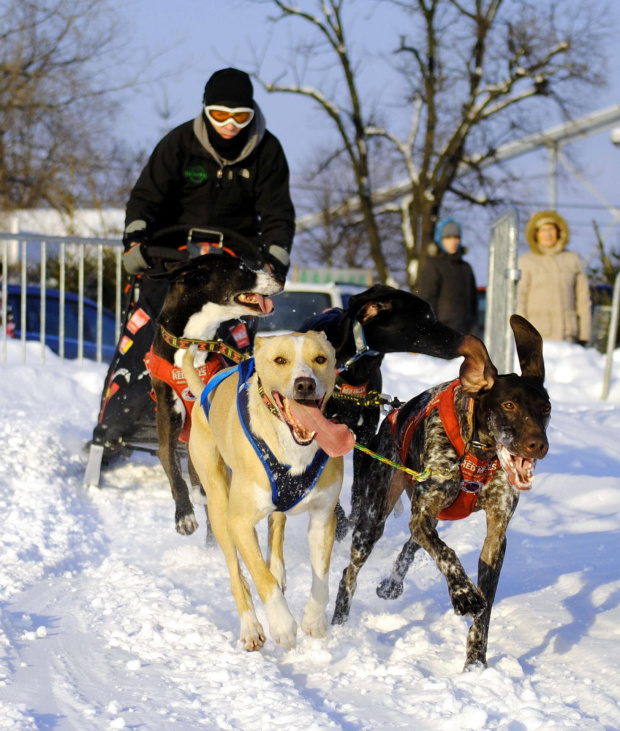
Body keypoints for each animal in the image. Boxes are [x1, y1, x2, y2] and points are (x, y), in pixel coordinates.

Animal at [145, 254, 284, 536]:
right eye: (241, 267)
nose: (282, 277)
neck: (193, 342)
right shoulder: (167, 419)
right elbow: (172, 466)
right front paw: (184, 514)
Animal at [182, 332, 354, 652]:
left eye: (320, 359)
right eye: (280, 360)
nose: (305, 384)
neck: (293, 449)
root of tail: (201, 394)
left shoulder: (324, 518)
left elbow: (321, 577)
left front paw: (313, 619)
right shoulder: (239, 522)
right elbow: (261, 578)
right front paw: (283, 624)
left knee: (277, 526)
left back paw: (278, 567)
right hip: (219, 504)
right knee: (238, 574)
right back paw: (250, 626)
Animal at [298, 286, 496, 536]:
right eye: (426, 317)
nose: (461, 337)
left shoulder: (364, 435)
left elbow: (358, 487)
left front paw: (354, 516)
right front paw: (340, 520)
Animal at [332, 314, 548, 668]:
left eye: (545, 408)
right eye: (509, 404)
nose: (538, 445)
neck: (478, 454)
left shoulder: (496, 533)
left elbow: (485, 604)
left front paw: (475, 662)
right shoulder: (422, 513)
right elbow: (446, 553)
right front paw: (463, 593)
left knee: (413, 543)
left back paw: (392, 583)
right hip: (372, 522)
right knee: (349, 573)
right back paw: (337, 624)